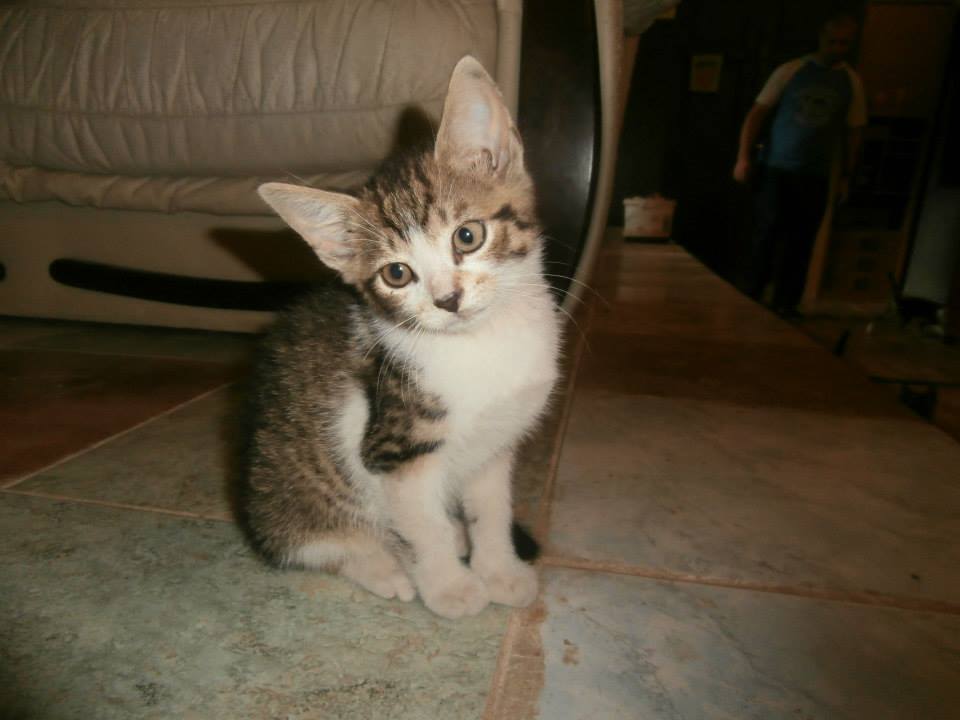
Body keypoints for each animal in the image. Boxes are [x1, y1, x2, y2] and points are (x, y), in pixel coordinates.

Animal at [239, 57, 561, 620]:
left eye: (468, 236)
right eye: (396, 274)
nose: (447, 299)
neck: (481, 342)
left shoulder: (497, 441)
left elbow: (492, 508)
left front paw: (498, 569)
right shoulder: (395, 446)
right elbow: (422, 526)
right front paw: (450, 587)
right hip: (292, 492)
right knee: (313, 544)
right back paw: (383, 566)